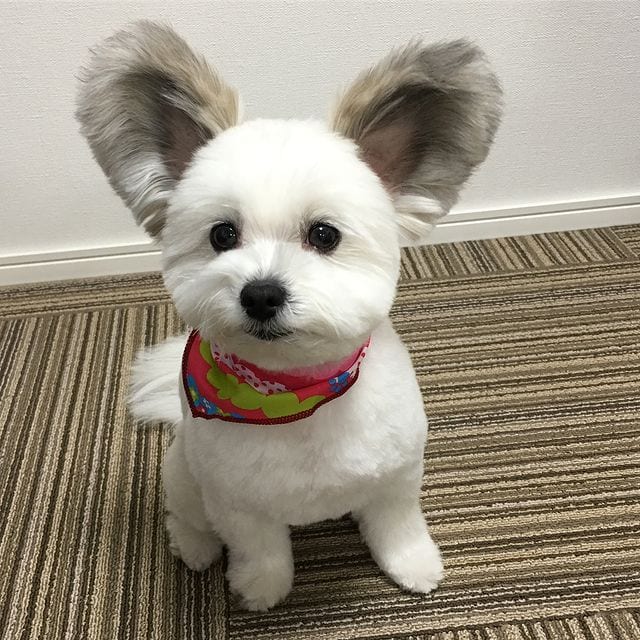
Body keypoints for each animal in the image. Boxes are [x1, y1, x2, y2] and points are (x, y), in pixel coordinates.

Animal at [77, 21, 502, 608]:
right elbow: (262, 552)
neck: (291, 396)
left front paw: (411, 564)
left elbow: (398, 526)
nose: (260, 294)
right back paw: (194, 548)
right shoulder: (235, 503)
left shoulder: (397, 476)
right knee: (185, 516)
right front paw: (260, 591)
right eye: (222, 234)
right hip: (184, 472)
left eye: (324, 234)